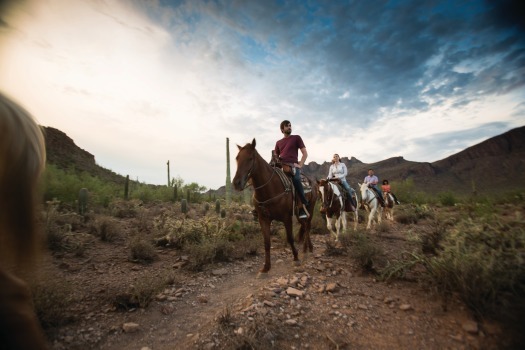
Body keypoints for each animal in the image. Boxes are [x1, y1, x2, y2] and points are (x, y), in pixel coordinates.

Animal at [232, 138, 316, 274]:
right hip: (299, 213)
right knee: (304, 226)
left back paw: (310, 248)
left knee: (308, 226)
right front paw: (266, 267)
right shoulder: (263, 219)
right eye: (237, 158)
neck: (270, 188)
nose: (237, 183)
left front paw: (296, 257)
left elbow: (290, 238)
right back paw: (305, 248)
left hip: (310, 208)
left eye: (250, 158)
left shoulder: (287, 218)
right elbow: (266, 242)